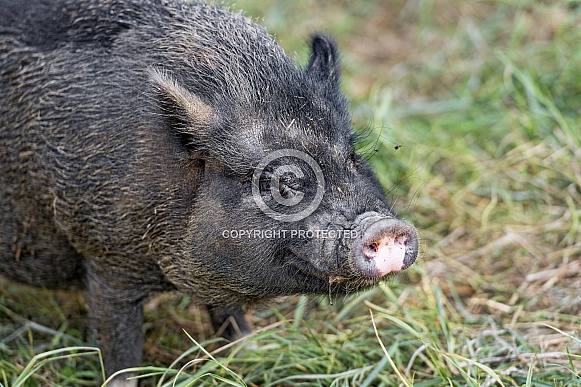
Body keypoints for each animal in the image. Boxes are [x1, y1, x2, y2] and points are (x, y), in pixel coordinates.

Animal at [0, 0, 416, 384]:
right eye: (282, 182)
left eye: (352, 158)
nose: (384, 226)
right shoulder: (105, 258)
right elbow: (120, 352)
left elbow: (229, 319)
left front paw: (249, 353)